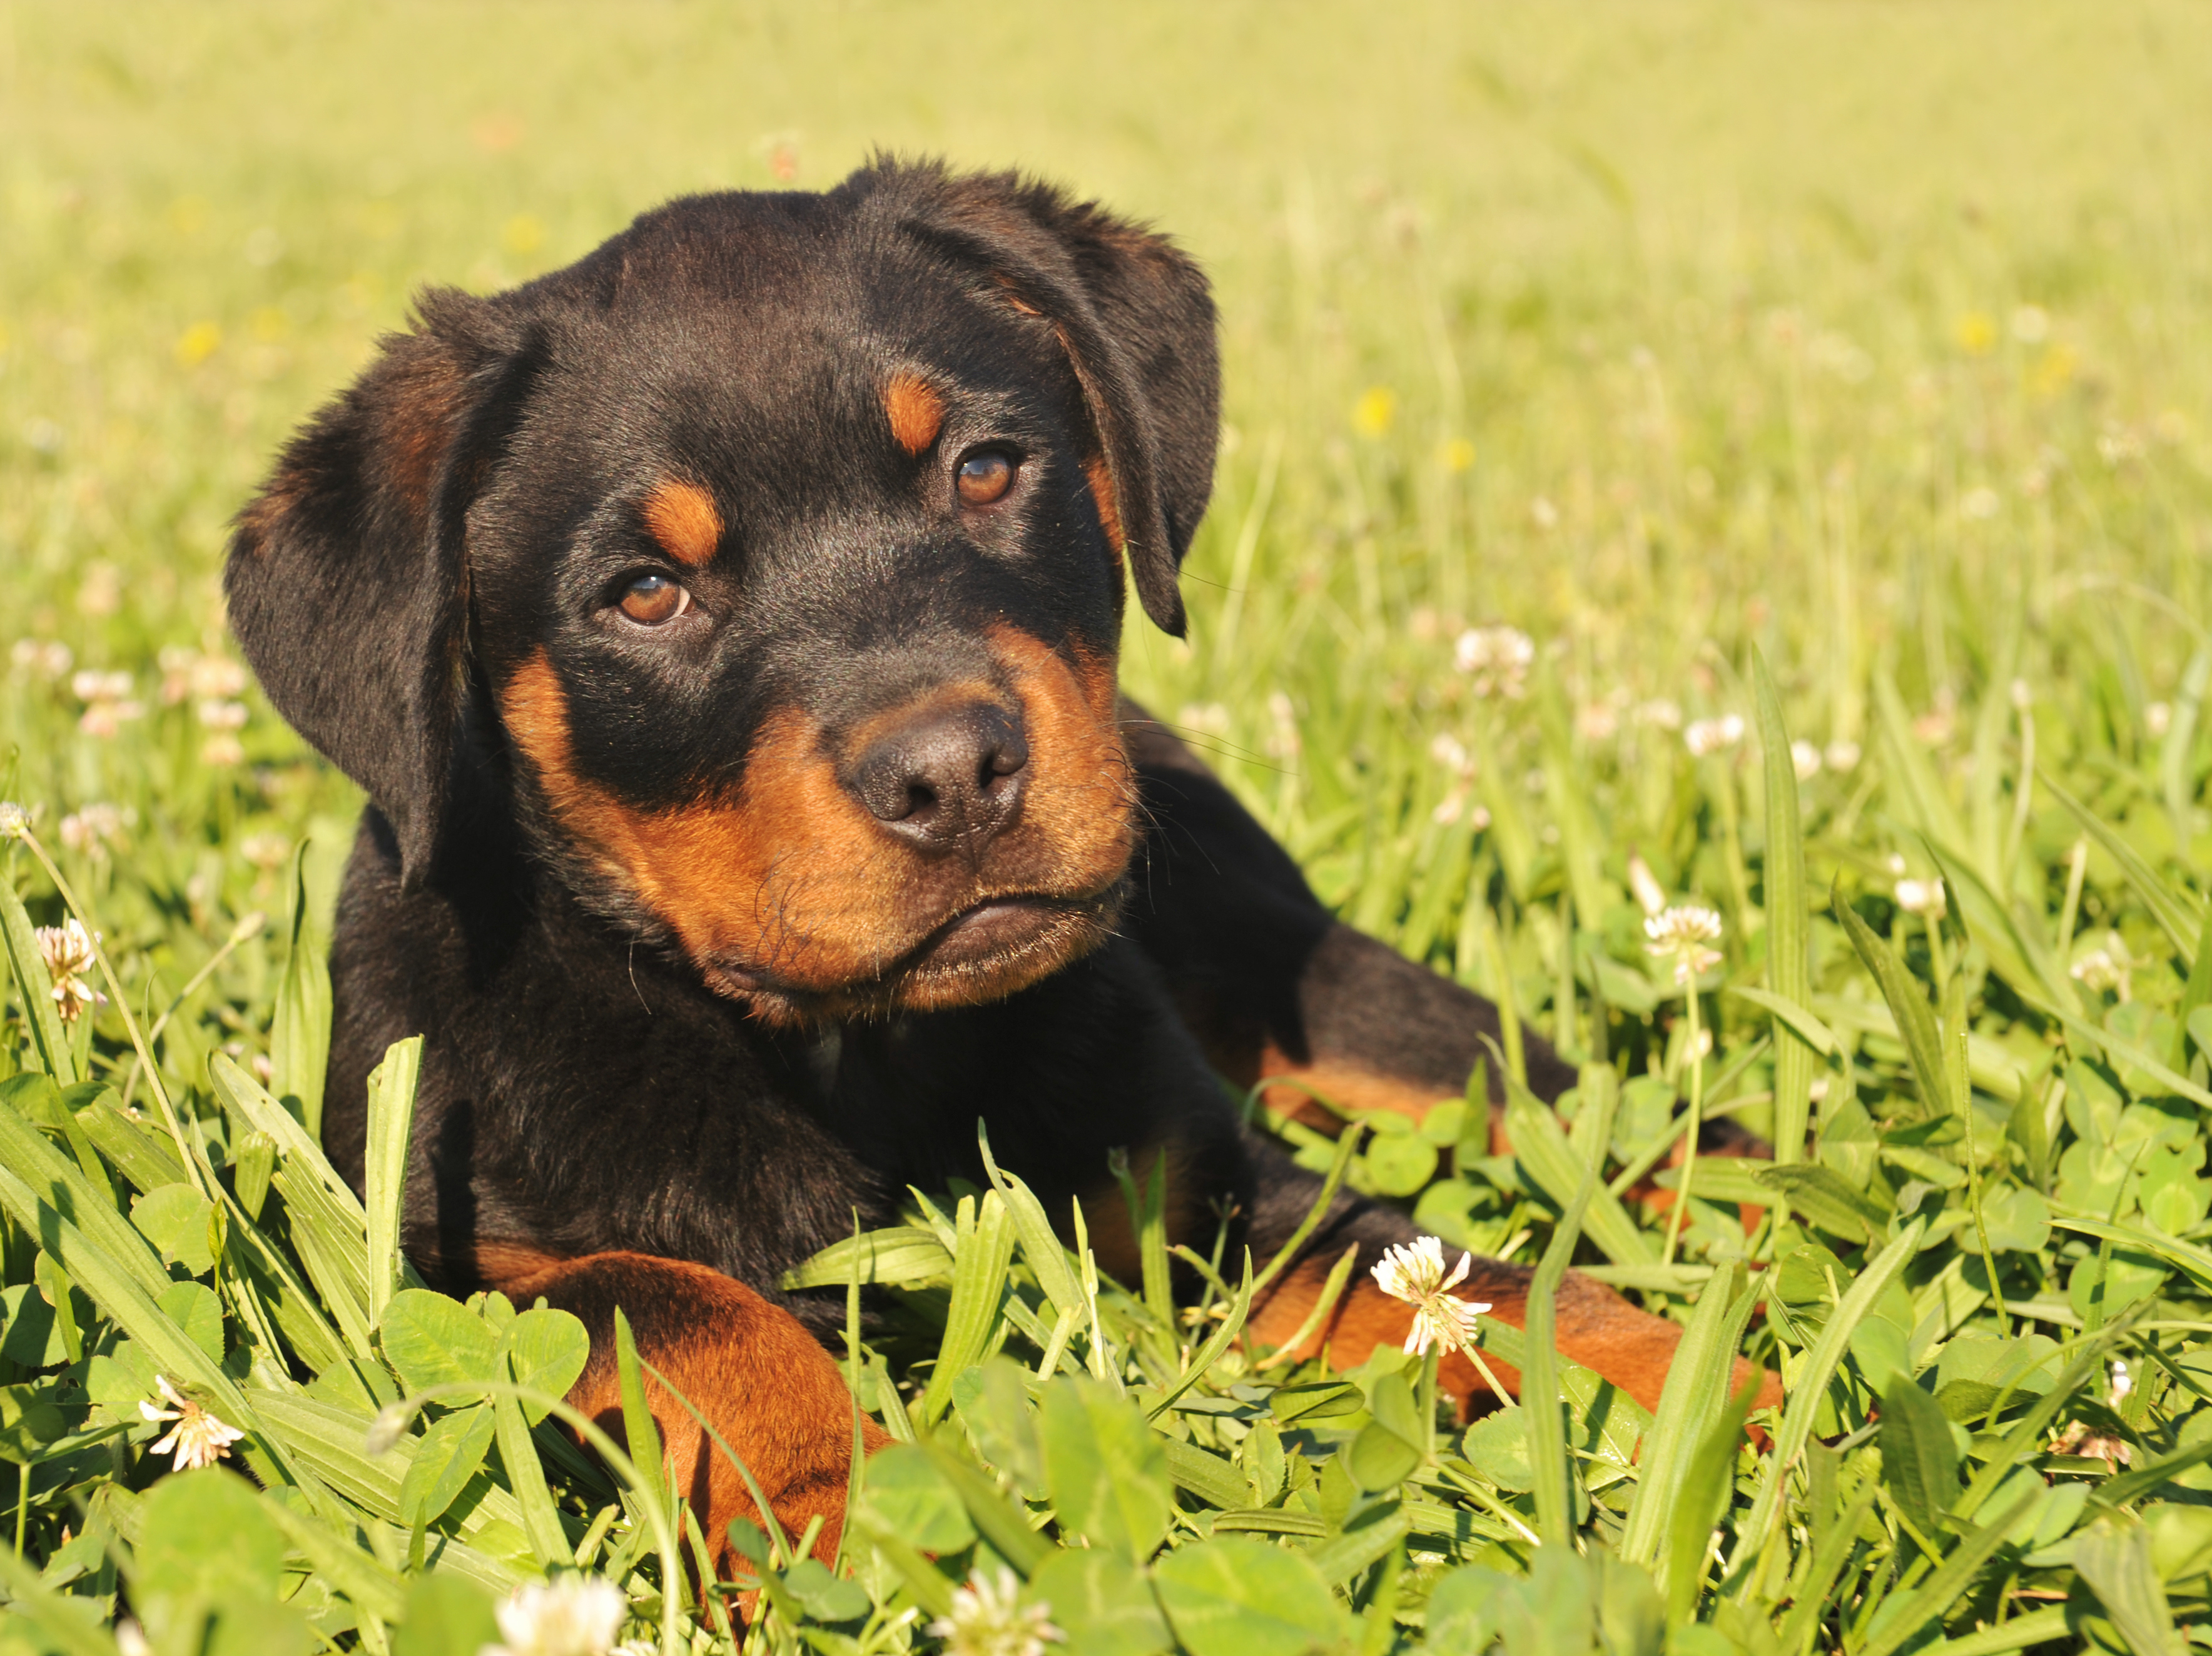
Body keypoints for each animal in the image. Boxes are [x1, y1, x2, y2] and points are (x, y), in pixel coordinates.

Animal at [224, 161, 1769, 1574]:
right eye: (645, 593)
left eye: (983, 468)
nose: (952, 772)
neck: (859, 1053)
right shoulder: (439, 1254)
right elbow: (680, 1303)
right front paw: (840, 1507)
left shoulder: (1214, 1186)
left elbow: (1482, 1283)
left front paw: (1728, 1402)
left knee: (1594, 1116)